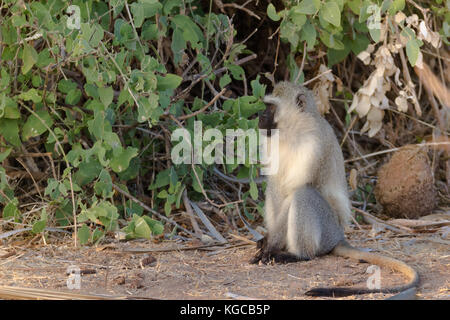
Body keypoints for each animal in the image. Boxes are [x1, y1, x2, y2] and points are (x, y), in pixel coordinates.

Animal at [251, 82, 420, 298]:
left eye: (271, 107)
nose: (260, 117)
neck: (294, 130)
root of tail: (339, 236)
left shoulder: (315, 142)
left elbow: (296, 189)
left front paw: (270, 248)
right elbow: (276, 186)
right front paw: (267, 242)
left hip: (327, 229)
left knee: (303, 194)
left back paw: (299, 255)